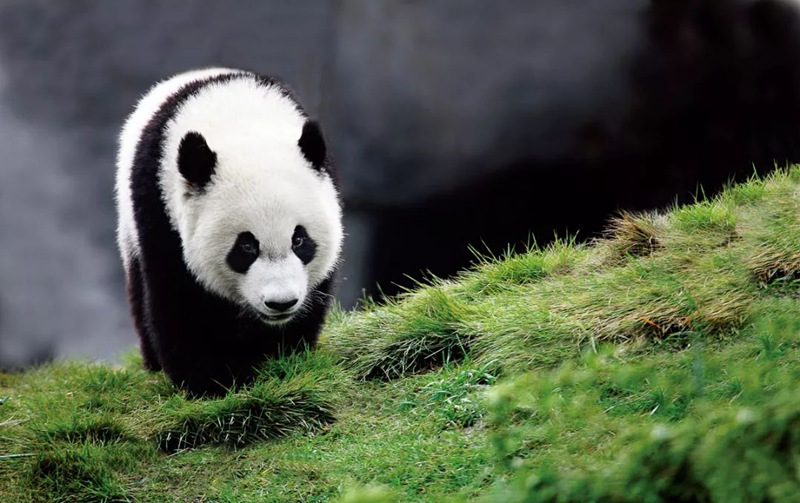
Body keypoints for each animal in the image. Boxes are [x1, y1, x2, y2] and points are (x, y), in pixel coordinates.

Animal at [115, 68, 343, 396]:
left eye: (299, 239)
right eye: (246, 246)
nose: (281, 303)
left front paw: (283, 358)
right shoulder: (159, 209)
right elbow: (180, 300)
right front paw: (211, 381)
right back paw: (153, 363)